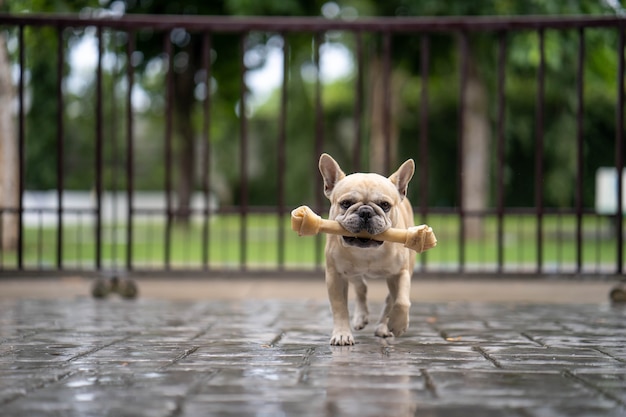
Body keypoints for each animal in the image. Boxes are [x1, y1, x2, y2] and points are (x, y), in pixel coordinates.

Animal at [316, 153, 414, 344]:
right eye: (346, 203)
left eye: (385, 205)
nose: (366, 212)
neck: (367, 252)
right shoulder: (335, 275)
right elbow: (339, 307)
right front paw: (342, 334)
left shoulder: (401, 273)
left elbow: (402, 301)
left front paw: (398, 324)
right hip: (351, 273)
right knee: (361, 286)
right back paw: (361, 318)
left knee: (390, 299)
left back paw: (383, 327)